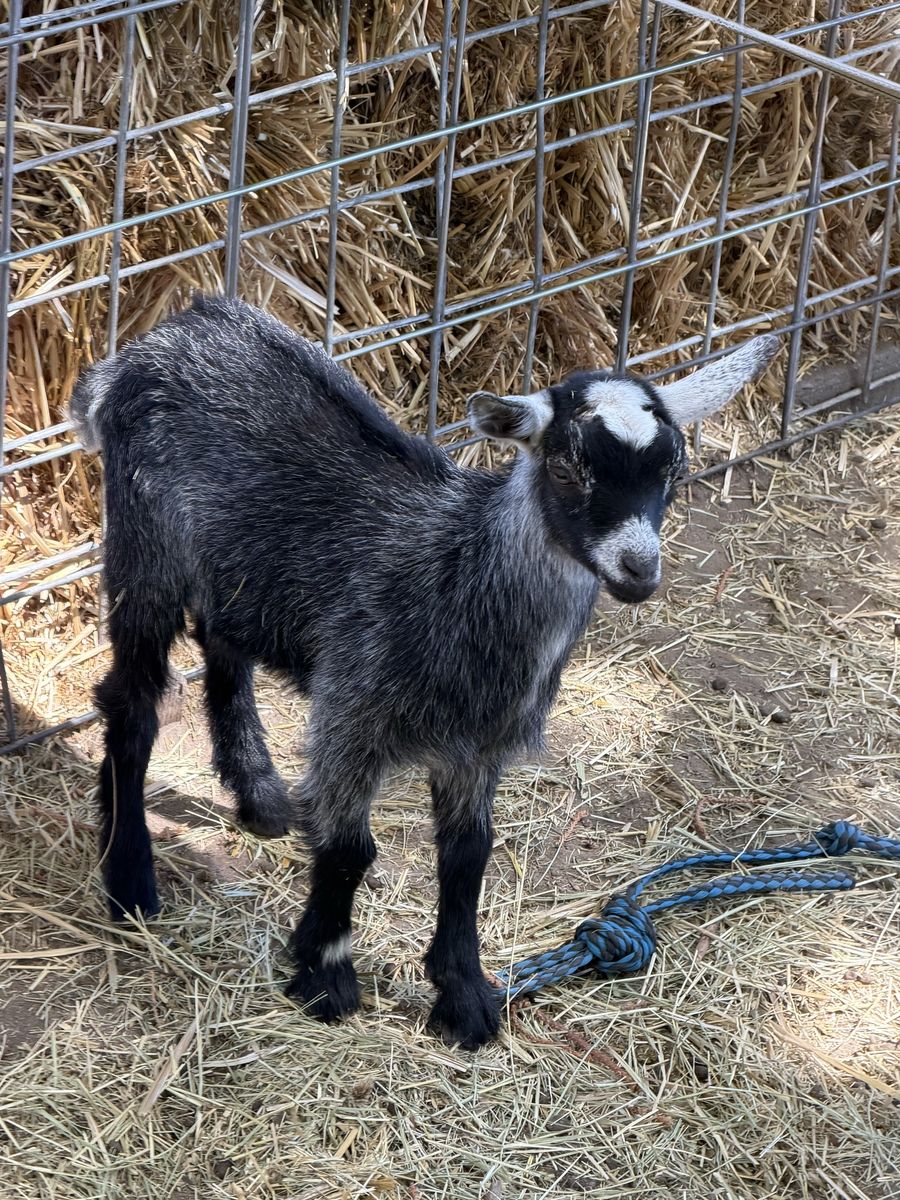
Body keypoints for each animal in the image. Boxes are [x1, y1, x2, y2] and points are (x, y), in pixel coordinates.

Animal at [70, 295, 778, 1048]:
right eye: (566, 469)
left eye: (671, 472)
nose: (639, 570)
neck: (458, 571)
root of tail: (162, 338)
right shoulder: (353, 711)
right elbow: (349, 849)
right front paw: (324, 976)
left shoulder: (478, 745)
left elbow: (469, 855)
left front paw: (463, 994)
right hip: (146, 543)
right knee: (132, 699)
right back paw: (129, 877)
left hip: (232, 566)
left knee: (222, 642)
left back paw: (258, 794)